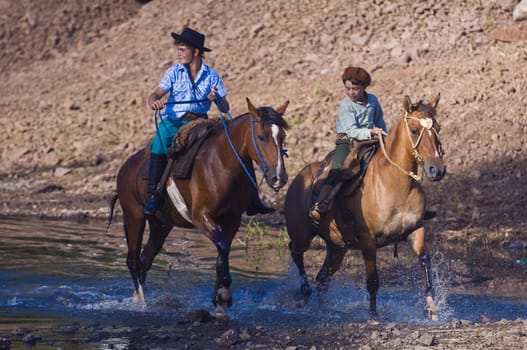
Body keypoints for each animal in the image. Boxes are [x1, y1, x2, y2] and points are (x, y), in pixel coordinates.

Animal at [108, 98, 288, 312]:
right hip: (134, 216)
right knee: (133, 259)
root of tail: (125, 168)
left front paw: (219, 297)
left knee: (145, 259)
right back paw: (141, 301)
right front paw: (225, 294)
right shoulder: (201, 217)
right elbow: (222, 247)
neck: (222, 162)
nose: (279, 178)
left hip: (161, 225)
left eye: (283, 136)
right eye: (261, 137)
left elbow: (223, 252)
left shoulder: (232, 219)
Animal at [284, 93, 446, 320]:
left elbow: (425, 263)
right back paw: (305, 291)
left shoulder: (416, 230)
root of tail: (297, 179)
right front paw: (373, 315)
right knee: (296, 252)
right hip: (302, 235)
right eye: (414, 130)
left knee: (323, 278)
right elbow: (373, 280)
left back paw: (324, 307)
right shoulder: (368, 241)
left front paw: (432, 310)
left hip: (337, 247)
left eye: (438, 128)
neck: (395, 184)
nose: (437, 170)